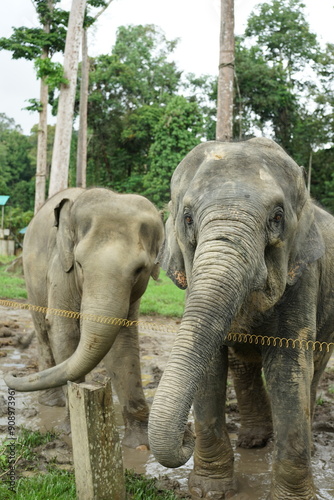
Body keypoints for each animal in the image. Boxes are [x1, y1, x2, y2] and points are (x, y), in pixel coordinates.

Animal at [3, 188, 163, 450]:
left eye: (140, 270)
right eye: (79, 263)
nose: (12, 375)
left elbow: (123, 342)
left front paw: (140, 445)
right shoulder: (60, 267)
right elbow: (63, 330)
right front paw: (71, 431)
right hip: (30, 271)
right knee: (43, 329)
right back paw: (52, 403)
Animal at [149, 138, 334, 500]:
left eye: (277, 217)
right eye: (187, 218)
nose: (186, 435)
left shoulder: (304, 276)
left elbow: (288, 369)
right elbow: (208, 365)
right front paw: (209, 490)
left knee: (315, 366)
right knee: (243, 363)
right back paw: (253, 442)